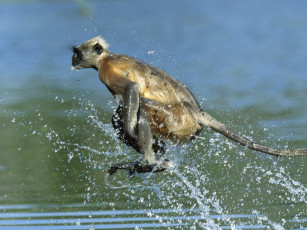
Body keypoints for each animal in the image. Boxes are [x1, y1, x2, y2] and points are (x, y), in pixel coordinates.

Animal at [71, 36, 307, 174]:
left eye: (78, 52)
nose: (73, 59)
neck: (105, 58)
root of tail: (197, 111)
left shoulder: (107, 71)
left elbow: (132, 90)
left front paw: (131, 133)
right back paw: (158, 162)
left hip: (179, 121)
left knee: (144, 109)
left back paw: (148, 161)